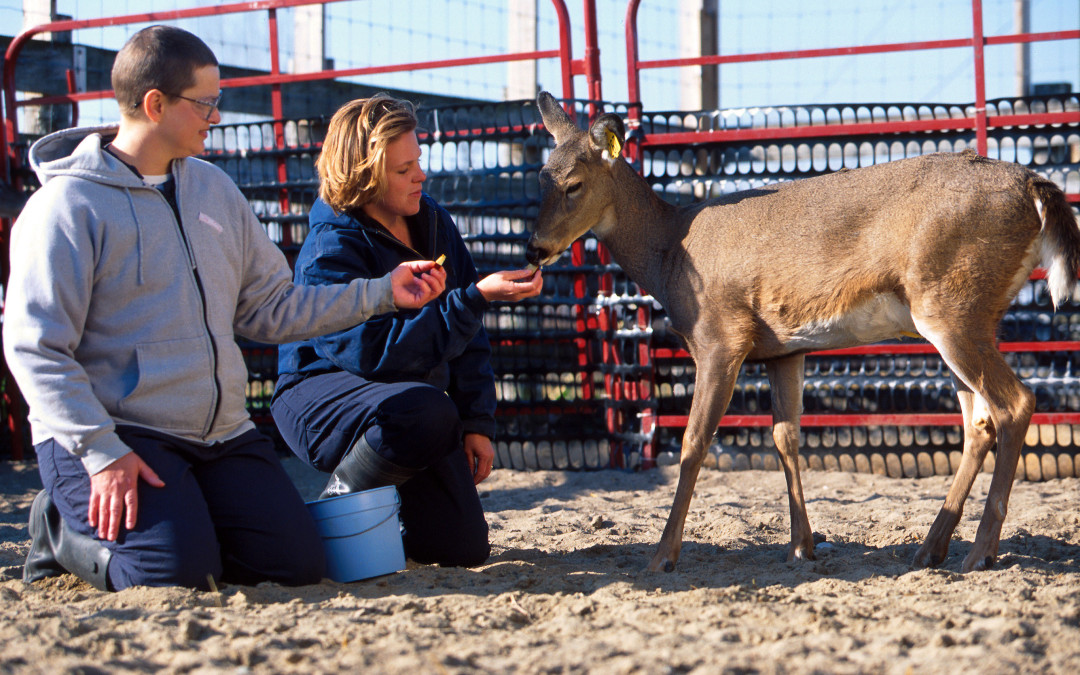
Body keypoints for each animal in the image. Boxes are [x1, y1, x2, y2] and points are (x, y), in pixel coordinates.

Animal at [529, 90, 1080, 574]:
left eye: (574, 184)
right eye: (540, 176)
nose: (535, 248)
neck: (669, 253)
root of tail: (1035, 186)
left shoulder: (721, 336)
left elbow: (693, 442)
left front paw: (662, 557)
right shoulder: (782, 349)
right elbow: (785, 437)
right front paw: (801, 547)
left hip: (951, 307)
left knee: (1015, 403)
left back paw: (979, 553)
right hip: (963, 316)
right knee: (979, 421)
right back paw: (930, 550)